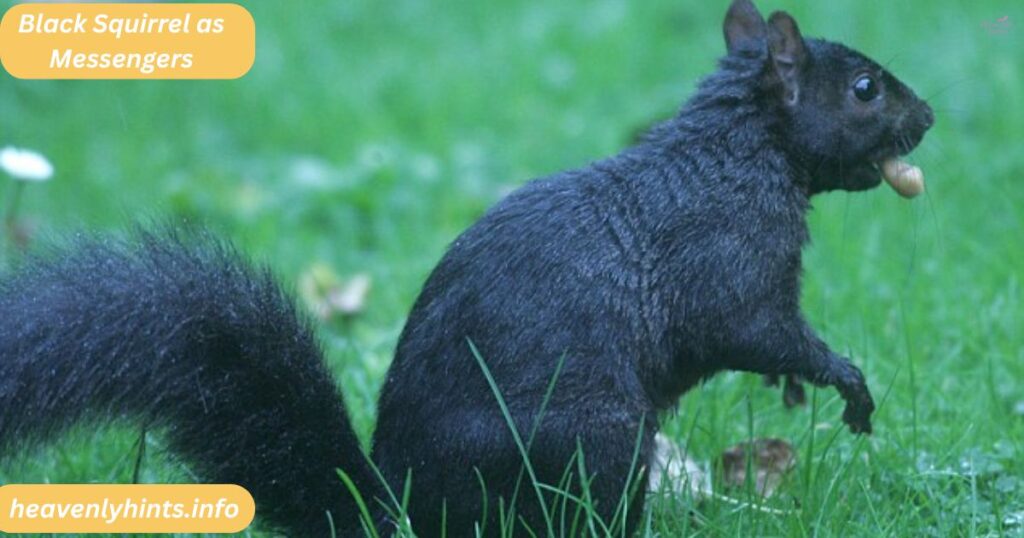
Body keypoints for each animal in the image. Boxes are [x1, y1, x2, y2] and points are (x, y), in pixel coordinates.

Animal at [0, 1, 933, 536]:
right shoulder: (728, 261)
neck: (739, 151)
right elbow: (759, 331)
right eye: (864, 89)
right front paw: (844, 383)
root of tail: (401, 511)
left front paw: (798, 389)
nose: (926, 117)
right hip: (594, 441)